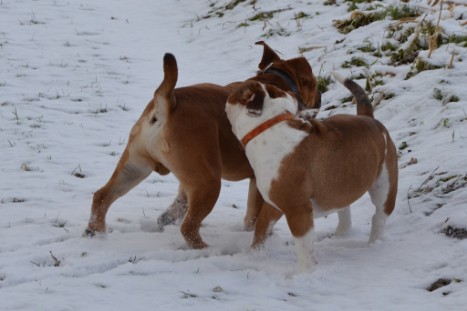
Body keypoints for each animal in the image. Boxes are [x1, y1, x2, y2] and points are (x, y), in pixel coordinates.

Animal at [85, 42, 322, 250]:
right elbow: (254, 217)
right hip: (208, 183)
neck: (275, 80)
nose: (320, 95)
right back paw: (204, 249)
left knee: (102, 196)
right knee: (189, 227)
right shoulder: (257, 180)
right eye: (314, 84)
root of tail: (168, 102)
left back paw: (96, 232)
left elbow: (179, 202)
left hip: (135, 167)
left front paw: (166, 218)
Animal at [227, 73, 398, 272]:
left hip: (384, 188)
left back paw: (373, 244)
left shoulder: (297, 209)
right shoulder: (274, 203)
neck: (268, 125)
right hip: (339, 185)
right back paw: (340, 235)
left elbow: (303, 245)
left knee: (379, 216)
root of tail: (368, 117)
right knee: (344, 210)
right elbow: (261, 226)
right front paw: (253, 255)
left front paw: (303, 273)